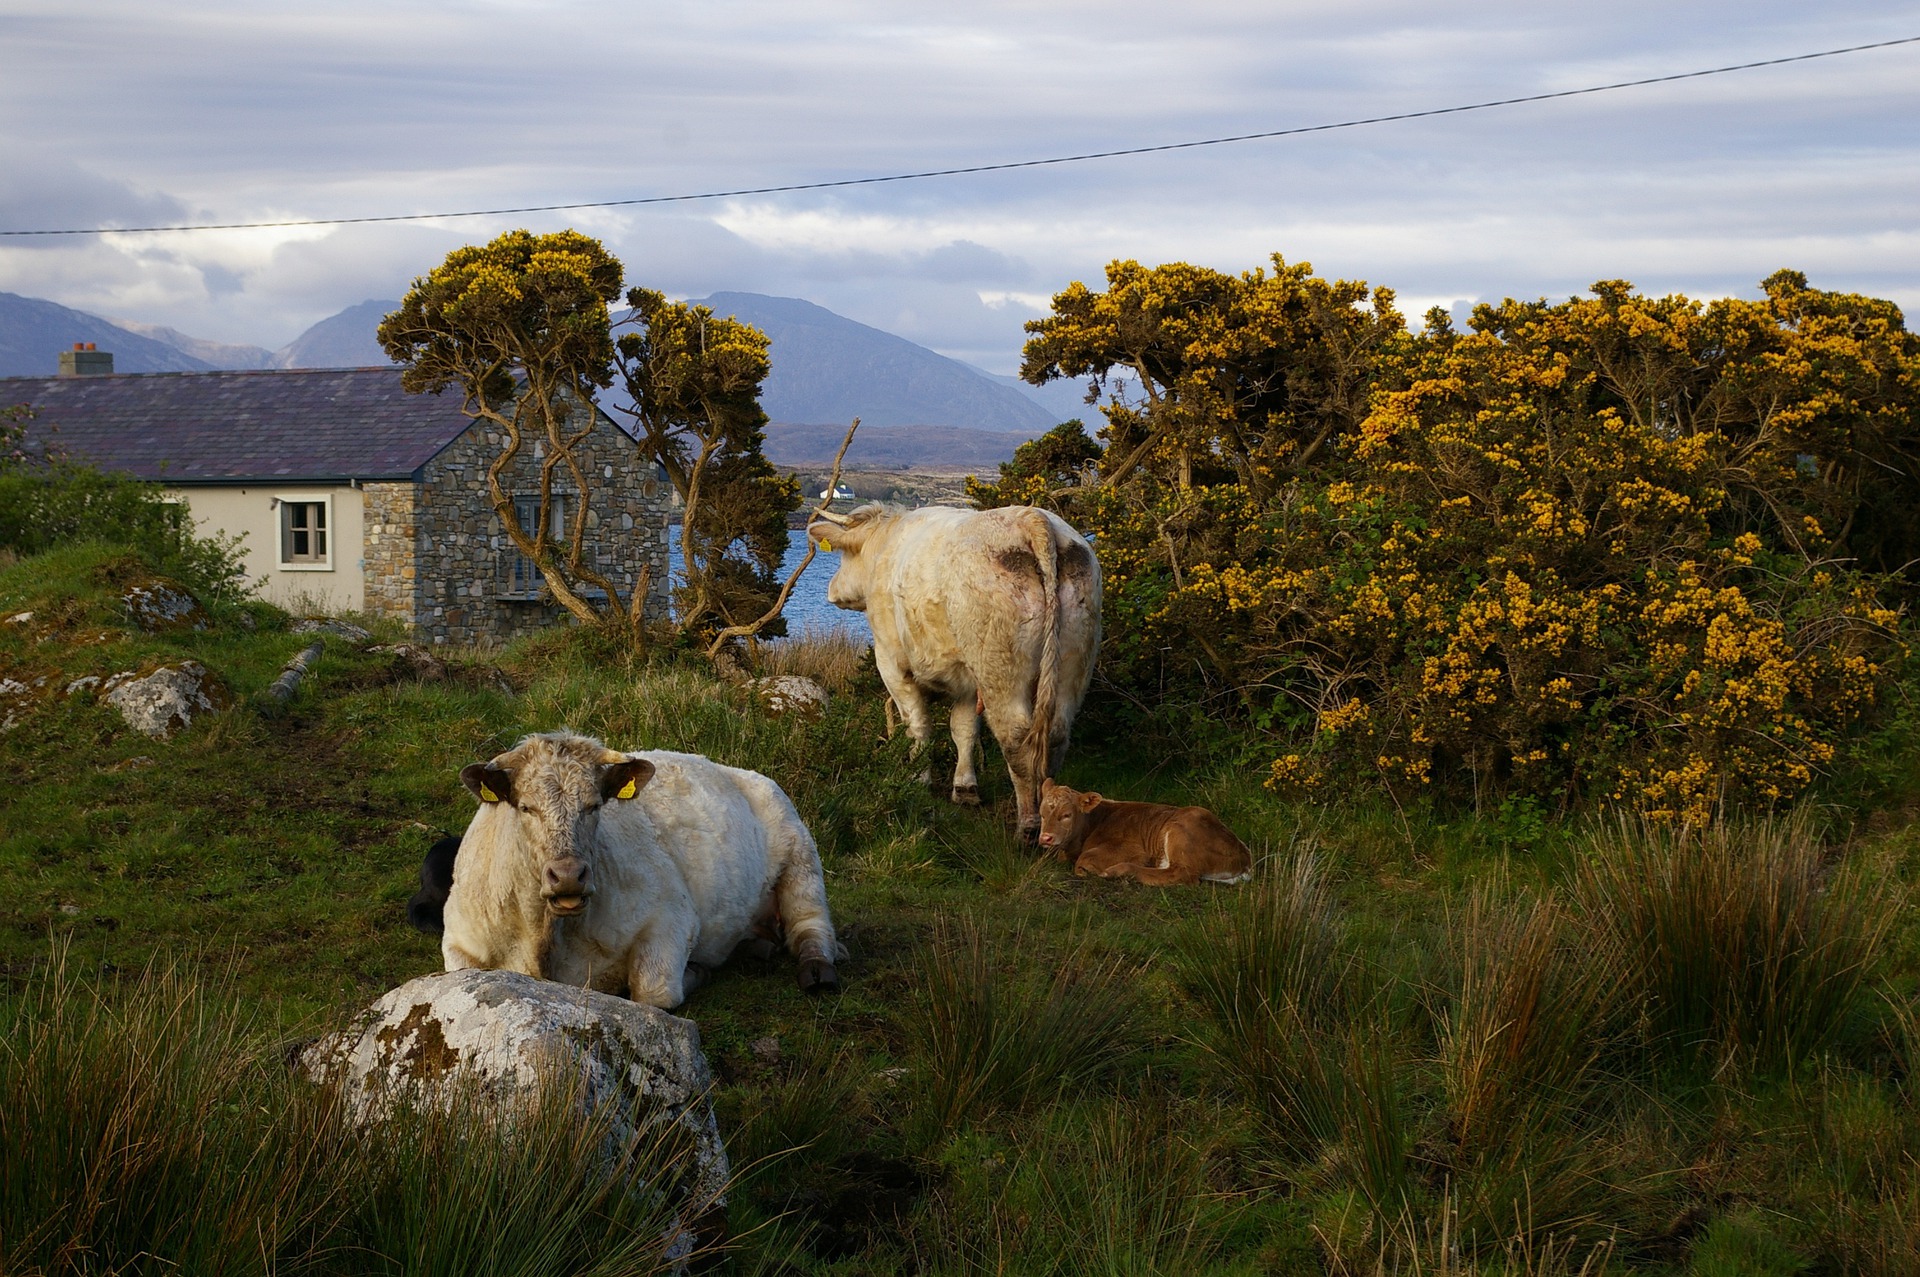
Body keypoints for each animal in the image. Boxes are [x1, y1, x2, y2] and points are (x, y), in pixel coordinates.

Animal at [449, 725, 848, 1006]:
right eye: (525, 807)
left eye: (595, 805)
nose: (568, 876)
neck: (545, 941)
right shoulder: (458, 933)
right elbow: (462, 972)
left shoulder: (671, 914)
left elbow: (653, 991)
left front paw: (696, 971)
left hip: (800, 852)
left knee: (810, 923)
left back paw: (818, 969)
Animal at [806, 503, 1105, 841]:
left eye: (843, 556)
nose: (831, 590)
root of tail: (1031, 518)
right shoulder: (967, 680)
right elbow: (963, 728)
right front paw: (965, 788)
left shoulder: (891, 661)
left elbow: (917, 725)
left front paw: (918, 779)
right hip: (1074, 662)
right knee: (1056, 734)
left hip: (999, 668)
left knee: (1016, 738)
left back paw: (1028, 825)